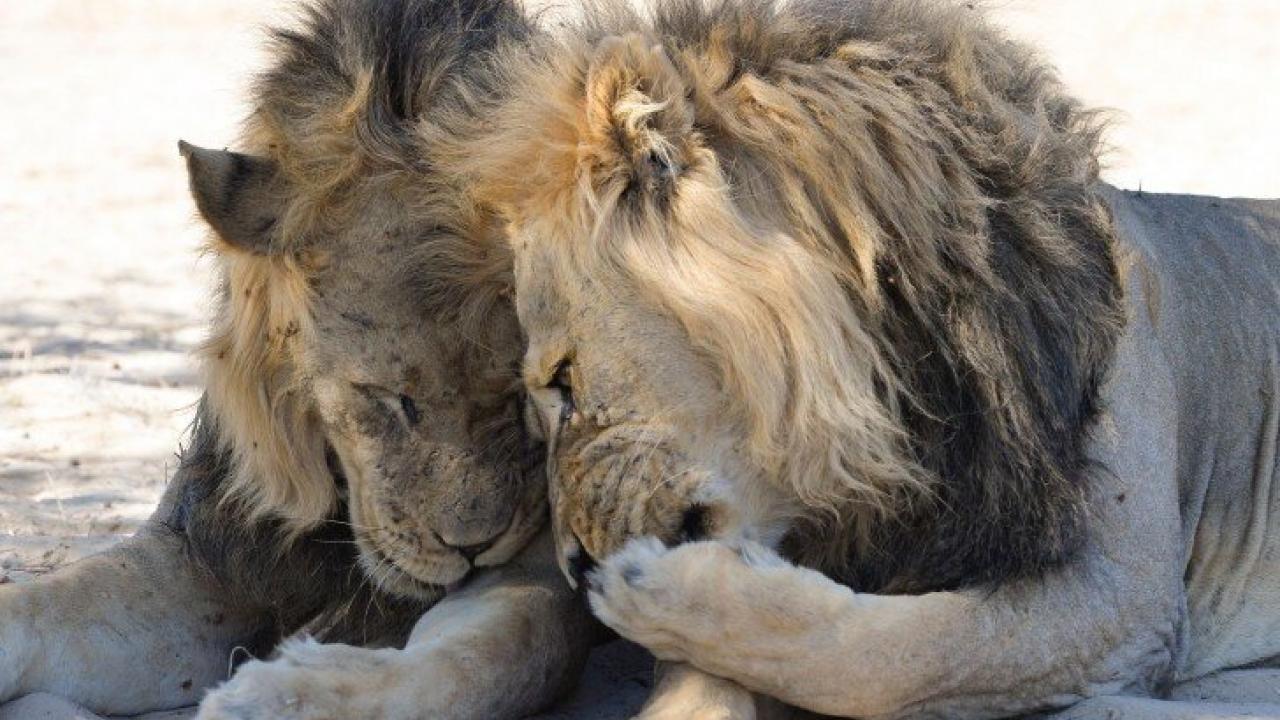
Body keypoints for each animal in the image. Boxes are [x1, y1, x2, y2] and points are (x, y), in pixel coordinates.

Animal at [0, 2, 599, 718]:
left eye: (521, 395)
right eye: (388, 398)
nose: (473, 549)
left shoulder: (534, 572)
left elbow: (500, 652)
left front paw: (275, 693)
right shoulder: (205, 551)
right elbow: (36, 603)